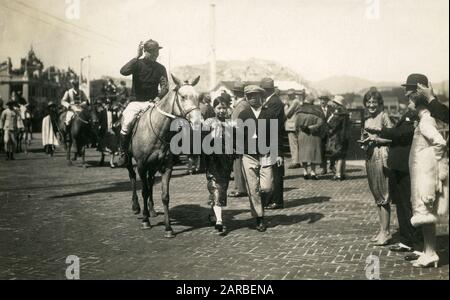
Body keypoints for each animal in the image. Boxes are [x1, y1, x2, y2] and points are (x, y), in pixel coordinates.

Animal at [127, 74, 203, 238]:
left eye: (198, 97)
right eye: (183, 96)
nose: (197, 122)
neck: (157, 130)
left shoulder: (167, 167)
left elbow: (165, 196)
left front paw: (168, 228)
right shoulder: (141, 165)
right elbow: (144, 191)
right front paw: (145, 220)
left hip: (153, 166)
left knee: (149, 182)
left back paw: (152, 210)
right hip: (129, 160)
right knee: (133, 177)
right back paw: (136, 206)